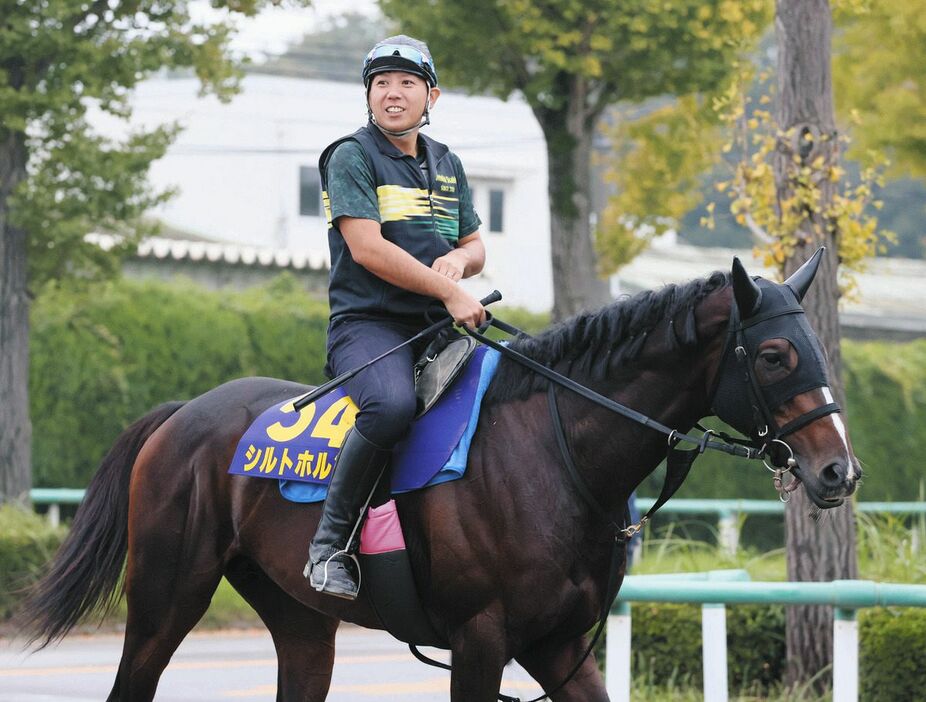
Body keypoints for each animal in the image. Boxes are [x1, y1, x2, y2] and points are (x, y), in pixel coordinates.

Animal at [18, 250, 864, 700]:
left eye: (819, 347)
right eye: (774, 354)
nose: (839, 470)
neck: (553, 452)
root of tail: (180, 415)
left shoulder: (561, 645)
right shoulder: (481, 640)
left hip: (299, 620)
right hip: (166, 598)